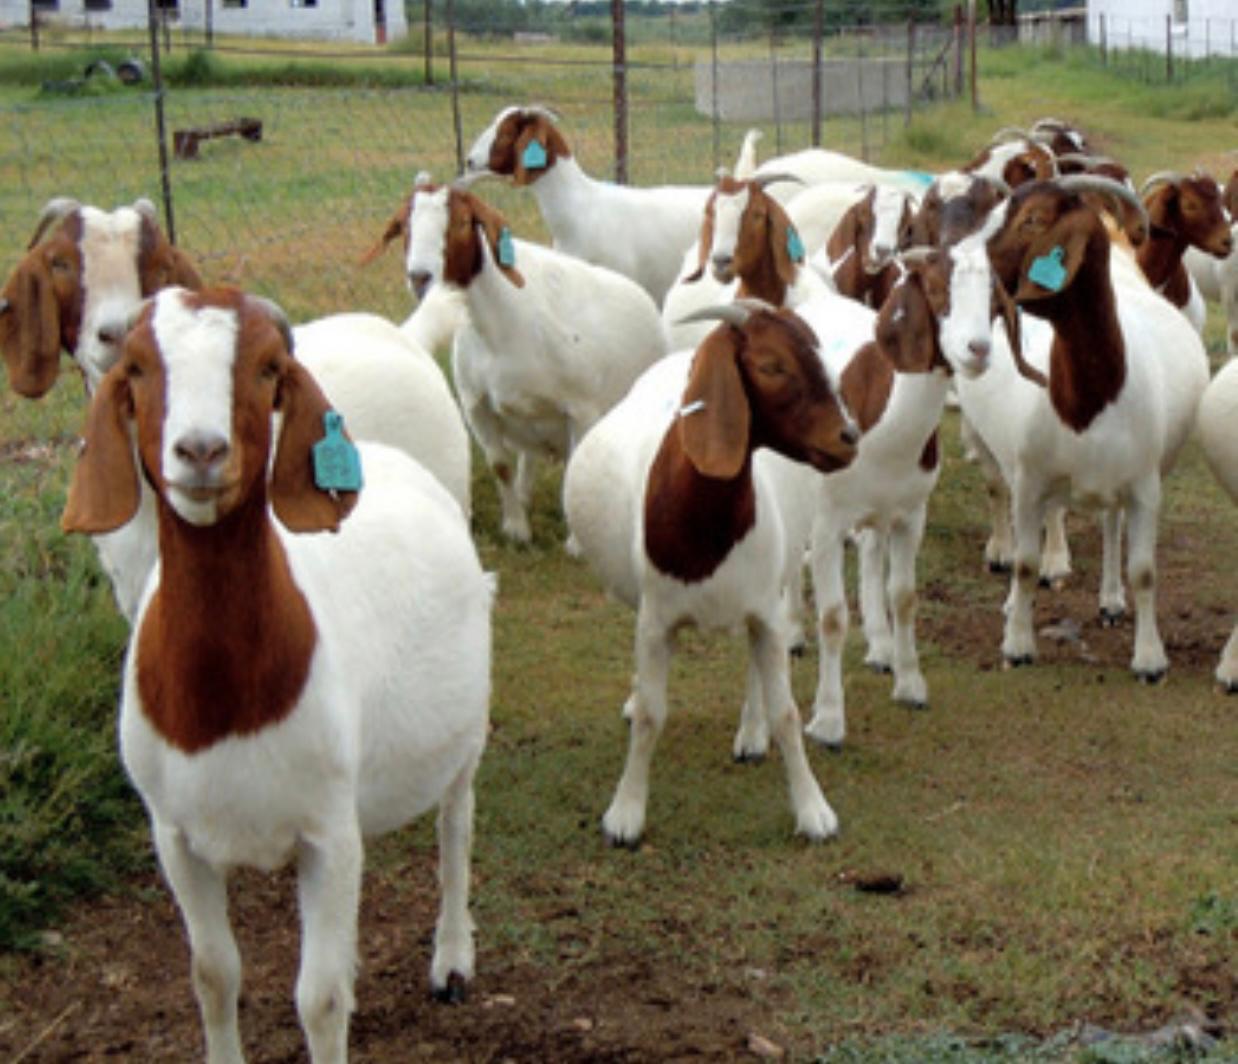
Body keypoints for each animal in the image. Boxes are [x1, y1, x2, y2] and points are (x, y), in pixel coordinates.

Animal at [59, 285, 492, 1062]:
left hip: (465, 736)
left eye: (266, 368)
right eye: (136, 368)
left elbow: (318, 1001)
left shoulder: (324, 835)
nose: (200, 451)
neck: (223, 704)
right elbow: (213, 975)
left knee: (456, 825)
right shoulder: (178, 837)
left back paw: (451, 958)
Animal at [368, 177, 668, 547]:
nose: (420, 277)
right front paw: (516, 529)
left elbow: (577, 470)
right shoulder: (476, 406)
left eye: (462, 222)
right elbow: (501, 466)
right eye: (405, 226)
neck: (500, 329)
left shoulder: (582, 408)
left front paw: (576, 544)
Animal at [562, 302, 859, 845]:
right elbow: (652, 716)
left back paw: (752, 733)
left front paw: (813, 810)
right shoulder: (656, 620)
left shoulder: (764, 611)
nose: (849, 438)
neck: (707, 530)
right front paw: (625, 814)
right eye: (771, 365)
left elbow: (787, 713)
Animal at [956, 176, 1210, 678]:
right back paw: (1009, 581)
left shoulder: (1144, 485)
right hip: (993, 446)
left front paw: (1149, 657)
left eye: (1032, 219)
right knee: (1001, 495)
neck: (1088, 400)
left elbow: (1144, 571)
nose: (960, 264)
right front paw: (1018, 643)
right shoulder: (1031, 478)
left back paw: (1110, 601)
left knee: (1111, 524)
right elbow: (1026, 563)